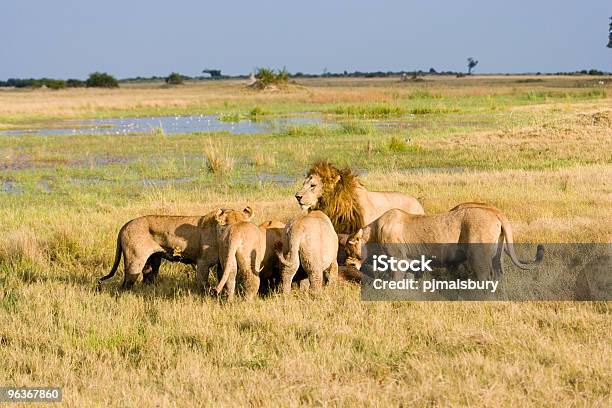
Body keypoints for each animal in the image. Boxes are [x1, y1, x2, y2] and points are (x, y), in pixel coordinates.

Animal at [97, 207, 253, 290]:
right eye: (230, 226)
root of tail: (125, 225)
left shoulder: (221, 263)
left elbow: (223, 278)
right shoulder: (202, 262)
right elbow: (204, 283)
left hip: (153, 261)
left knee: (147, 278)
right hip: (135, 260)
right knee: (126, 284)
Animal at [344, 203, 544, 282]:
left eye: (349, 249)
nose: (348, 263)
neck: (372, 233)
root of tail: (497, 213)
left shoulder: (398, 259)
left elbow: (395, 280)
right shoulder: (409, 261)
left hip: (479, 256)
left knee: (486, 277)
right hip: (497, 255)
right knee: (499, 276)